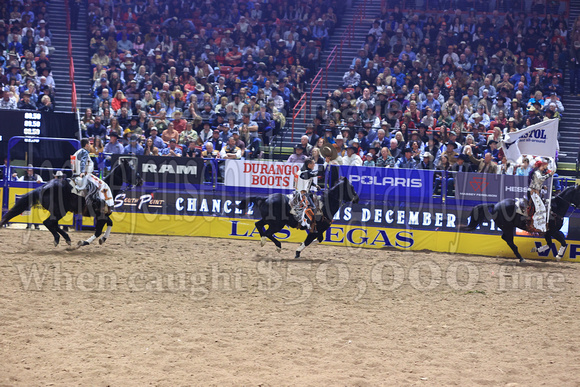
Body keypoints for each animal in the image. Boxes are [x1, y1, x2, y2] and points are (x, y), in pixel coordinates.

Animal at [0, 158, 142, 247]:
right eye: (131, 169)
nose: (140, 180)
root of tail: (43, 187)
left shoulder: (101, 216)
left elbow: (110, 224)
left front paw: (102, 239)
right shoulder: (101, 216)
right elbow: (98, 231)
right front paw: (83, 242)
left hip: (59, 211)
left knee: (52, 223)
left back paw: (66, 238)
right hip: (59, 211)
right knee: (48, 223)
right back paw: (60, 239)